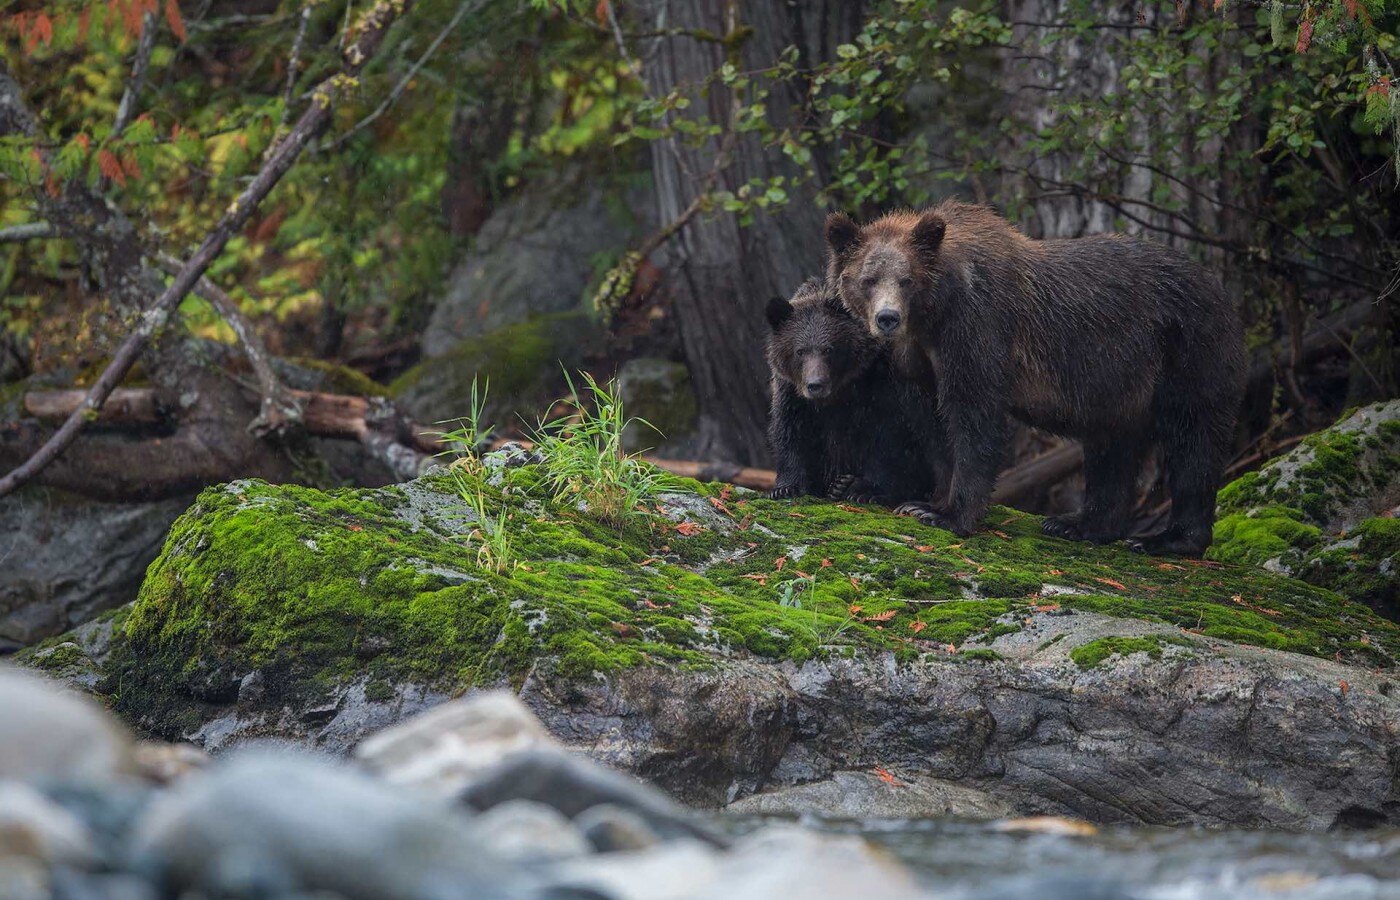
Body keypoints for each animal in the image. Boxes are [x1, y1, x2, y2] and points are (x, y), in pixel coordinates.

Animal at [767, 278, 952, 509]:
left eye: (828, 349)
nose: (815, 384)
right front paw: (785, 487)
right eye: (800, 351)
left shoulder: (884, 385)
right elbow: (791, 432)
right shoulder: (792, 394)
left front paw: (865, 490)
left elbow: (888, 438)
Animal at [823, 202, 1243, 557]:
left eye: (906, 279)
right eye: (868, 279)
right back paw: (1078, 524)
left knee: (1193, 439)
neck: (935, 313)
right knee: (1112, 447)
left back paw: (1168, 538)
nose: (887, 318)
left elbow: (974, 416)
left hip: (1186, 348)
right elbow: (931, 424)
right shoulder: (917, 358)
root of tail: (1217, 284)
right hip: (1121, 384)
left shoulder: (978, 328)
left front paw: (945, 513)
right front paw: (919, 498)